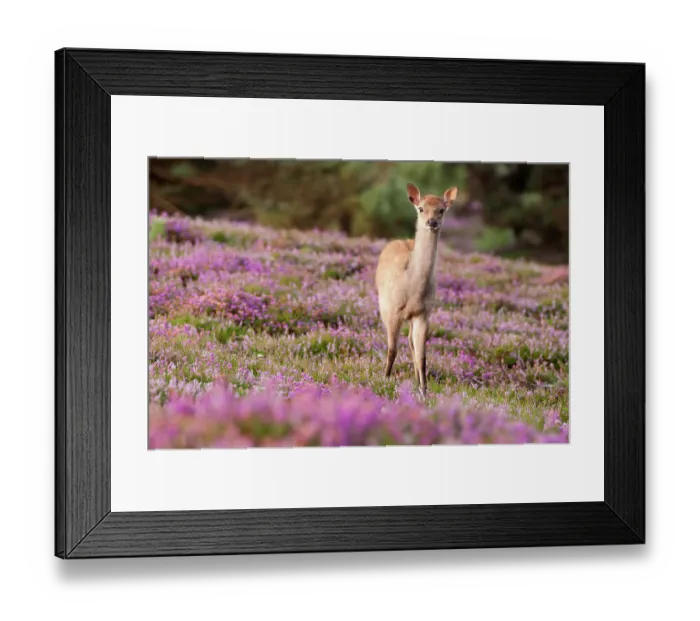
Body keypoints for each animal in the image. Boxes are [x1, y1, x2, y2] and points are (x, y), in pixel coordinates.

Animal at [375, 183, 458, 396]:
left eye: (441, 210)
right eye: (421, 208)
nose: (432, 222)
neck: (413, 289)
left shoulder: (424, 312)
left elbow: (422, 354)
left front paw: (424, 389)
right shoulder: (393, 309)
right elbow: (392, 349)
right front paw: (384, 379)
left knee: (411, 342)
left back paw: (415, 380)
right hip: (383, 304)